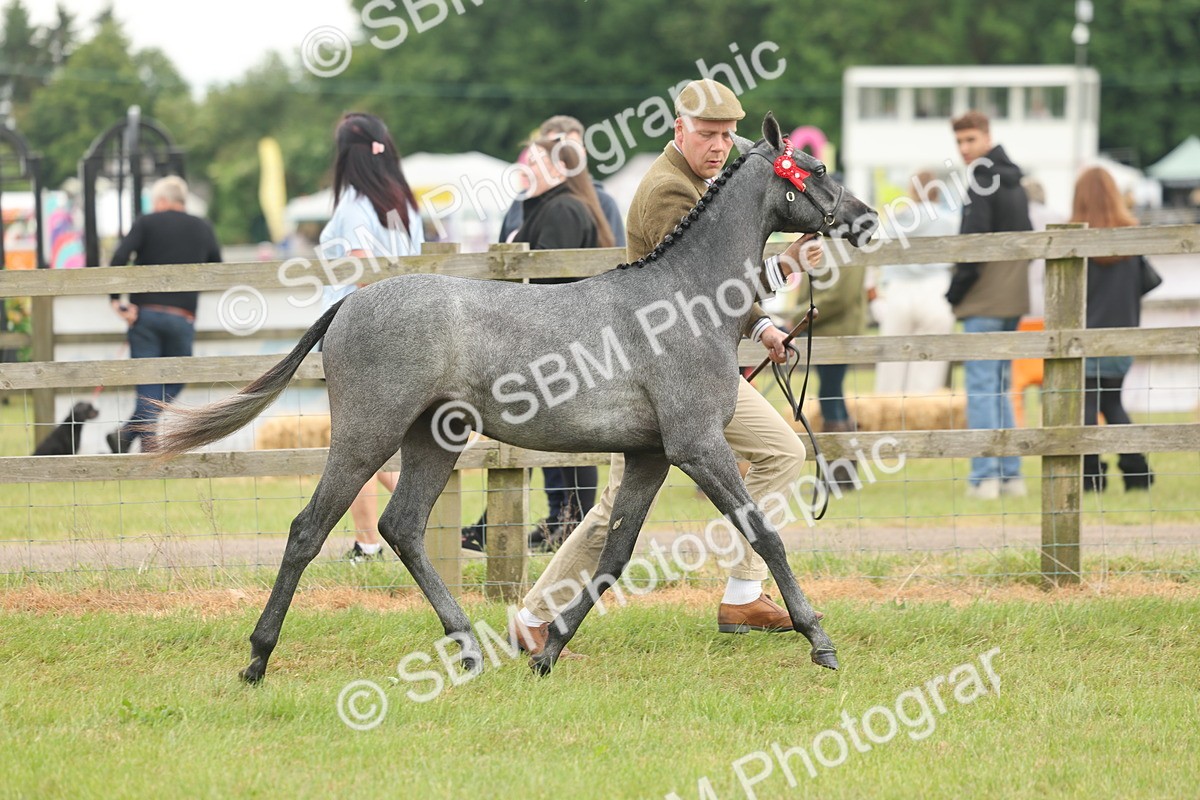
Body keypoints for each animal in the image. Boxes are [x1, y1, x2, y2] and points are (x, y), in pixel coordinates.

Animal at [154, 112, 878, 682]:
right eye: (813, 167)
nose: (867, 219)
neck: (684, 301)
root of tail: (348, 304)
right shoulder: (697, 446)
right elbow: (764, 532)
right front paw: (819, 639)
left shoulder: (649, 456)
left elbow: (612, 556)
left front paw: (549, 650)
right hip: (367, 434)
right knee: (310, 528)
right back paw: (258, 656)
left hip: (433, 438)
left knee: (402, 527)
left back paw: (469, 647)